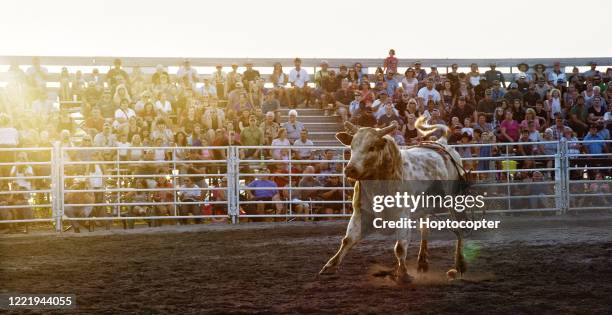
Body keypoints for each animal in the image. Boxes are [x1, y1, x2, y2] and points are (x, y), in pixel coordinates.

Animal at [320, 117, 468, 282]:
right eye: (351, 146)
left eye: (371, 147)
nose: (350, 169)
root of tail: (442, 144)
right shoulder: (361, 212)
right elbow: (348, 240)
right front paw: (329, 266)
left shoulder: (402, 214)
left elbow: (400, 247)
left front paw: (403, 274)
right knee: (425, 230)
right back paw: (422, 263)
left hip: (454, 201)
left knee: (459, 229)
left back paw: (459, 266)